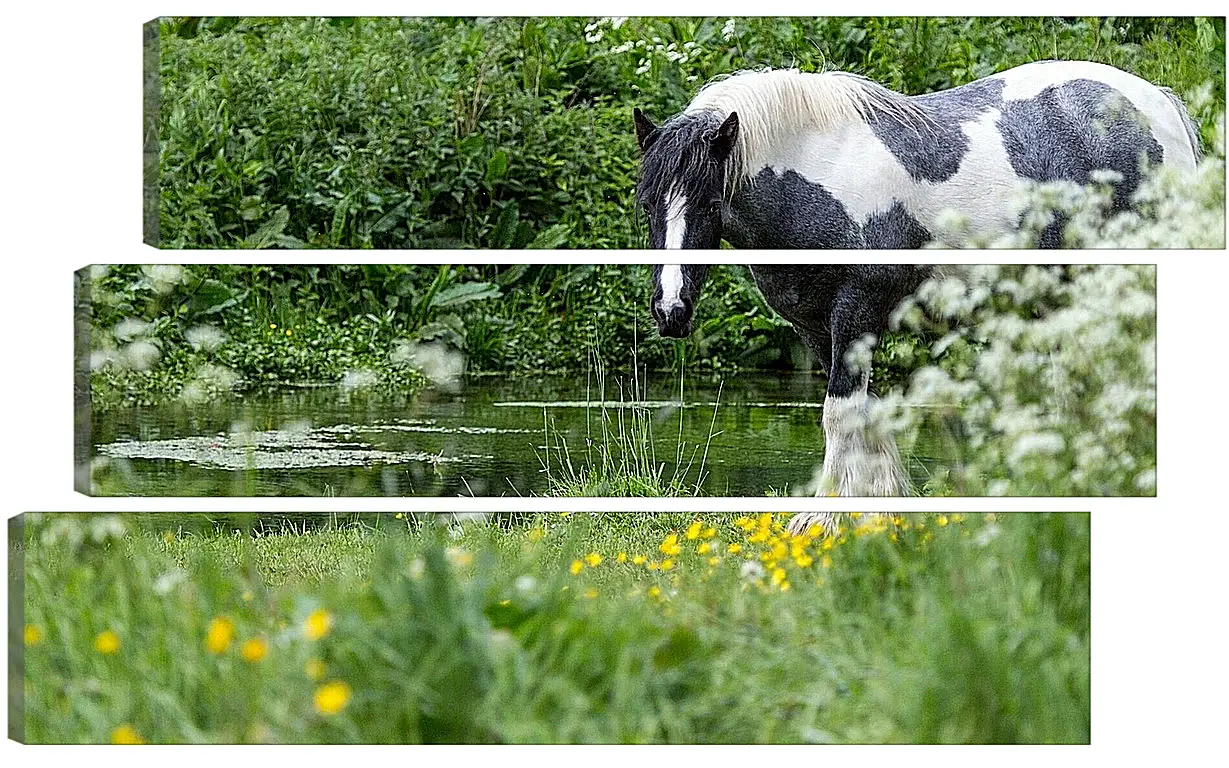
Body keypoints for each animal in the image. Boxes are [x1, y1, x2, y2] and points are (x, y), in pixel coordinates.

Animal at [639, 61, 1194, 533]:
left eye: (711, 203)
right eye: (647, 203)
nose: (671, 310)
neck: (820, 177)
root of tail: (1159, 105)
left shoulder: (856, 313)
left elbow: (839, 414)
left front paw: (823, 520)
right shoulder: (818, 328)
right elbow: (866, 414)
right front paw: (882, 511)